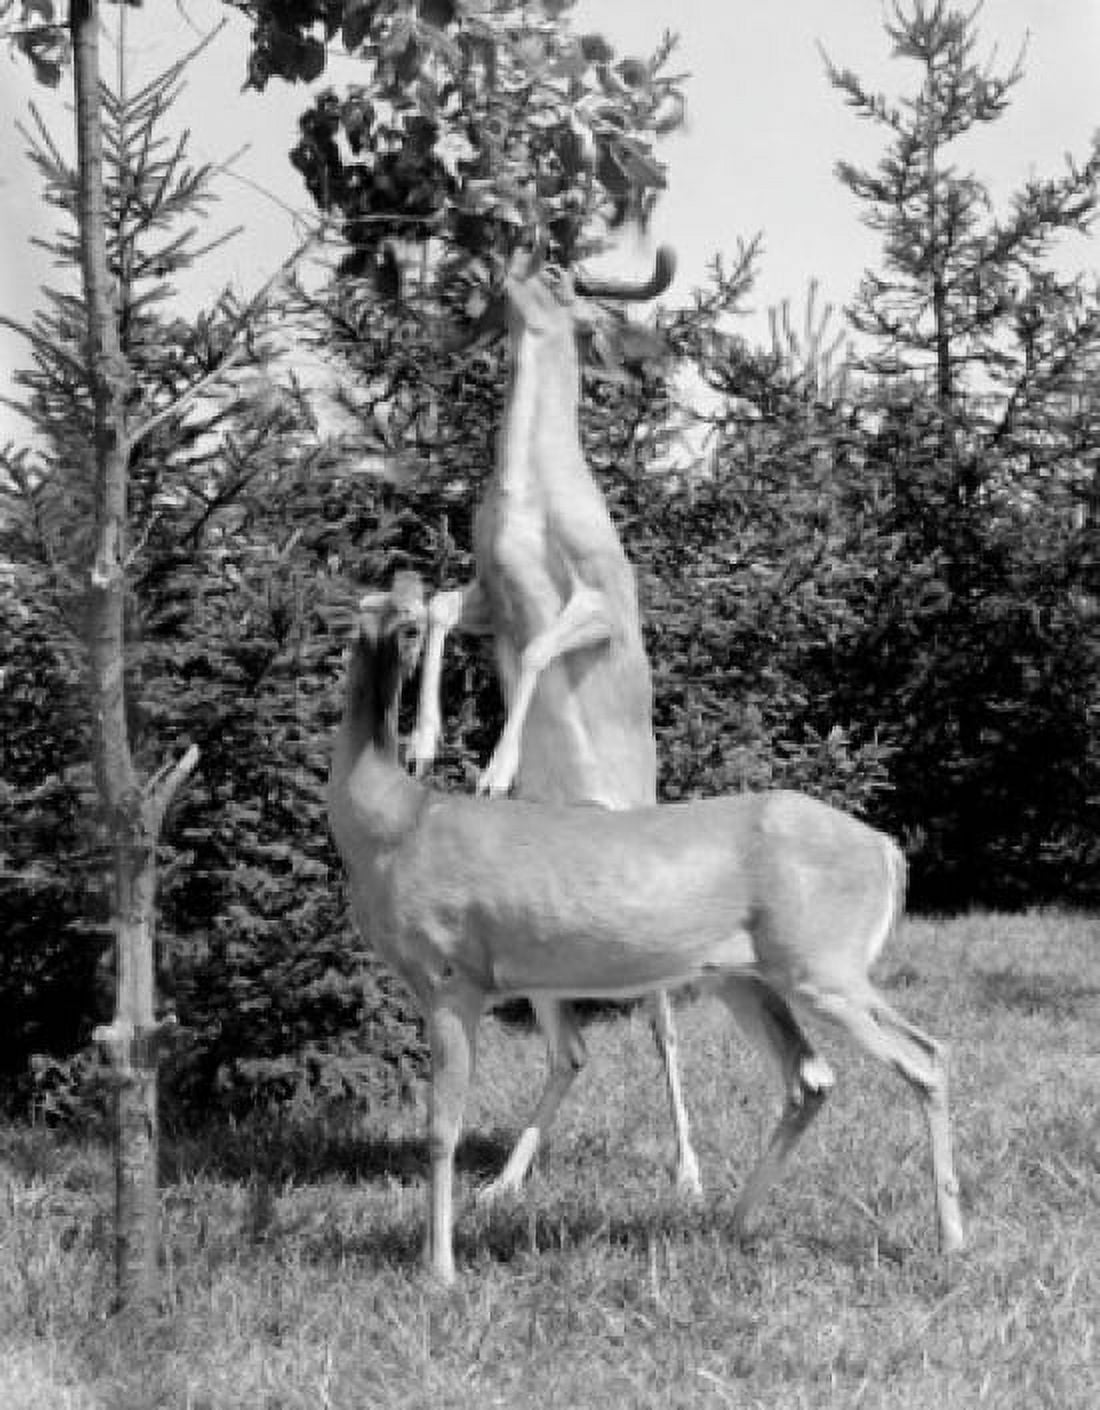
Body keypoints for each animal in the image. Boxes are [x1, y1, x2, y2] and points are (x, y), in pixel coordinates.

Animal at [327, 576, 965, 1286]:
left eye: (413, 624)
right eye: (364, 615)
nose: (391, 639)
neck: (392, 824)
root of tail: (888, 850)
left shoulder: (451, 976)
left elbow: (442, 1127)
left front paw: (439, 1270)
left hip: (823, 964)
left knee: (926, 1056)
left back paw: (951, 1240)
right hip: (747, 977)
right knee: (810, 1077)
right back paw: (732, 1225)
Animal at [404, 244, 704, 1202]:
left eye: (571, 284)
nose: (511, 259)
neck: (532, 491)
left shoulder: (603, 601)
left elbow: (538, 652)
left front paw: (497, 769)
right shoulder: (487, 591)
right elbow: (433, 605)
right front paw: (422, 745)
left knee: (662, 1026)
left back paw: (689, 1172)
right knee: (570, 1046)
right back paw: (503, 1183)